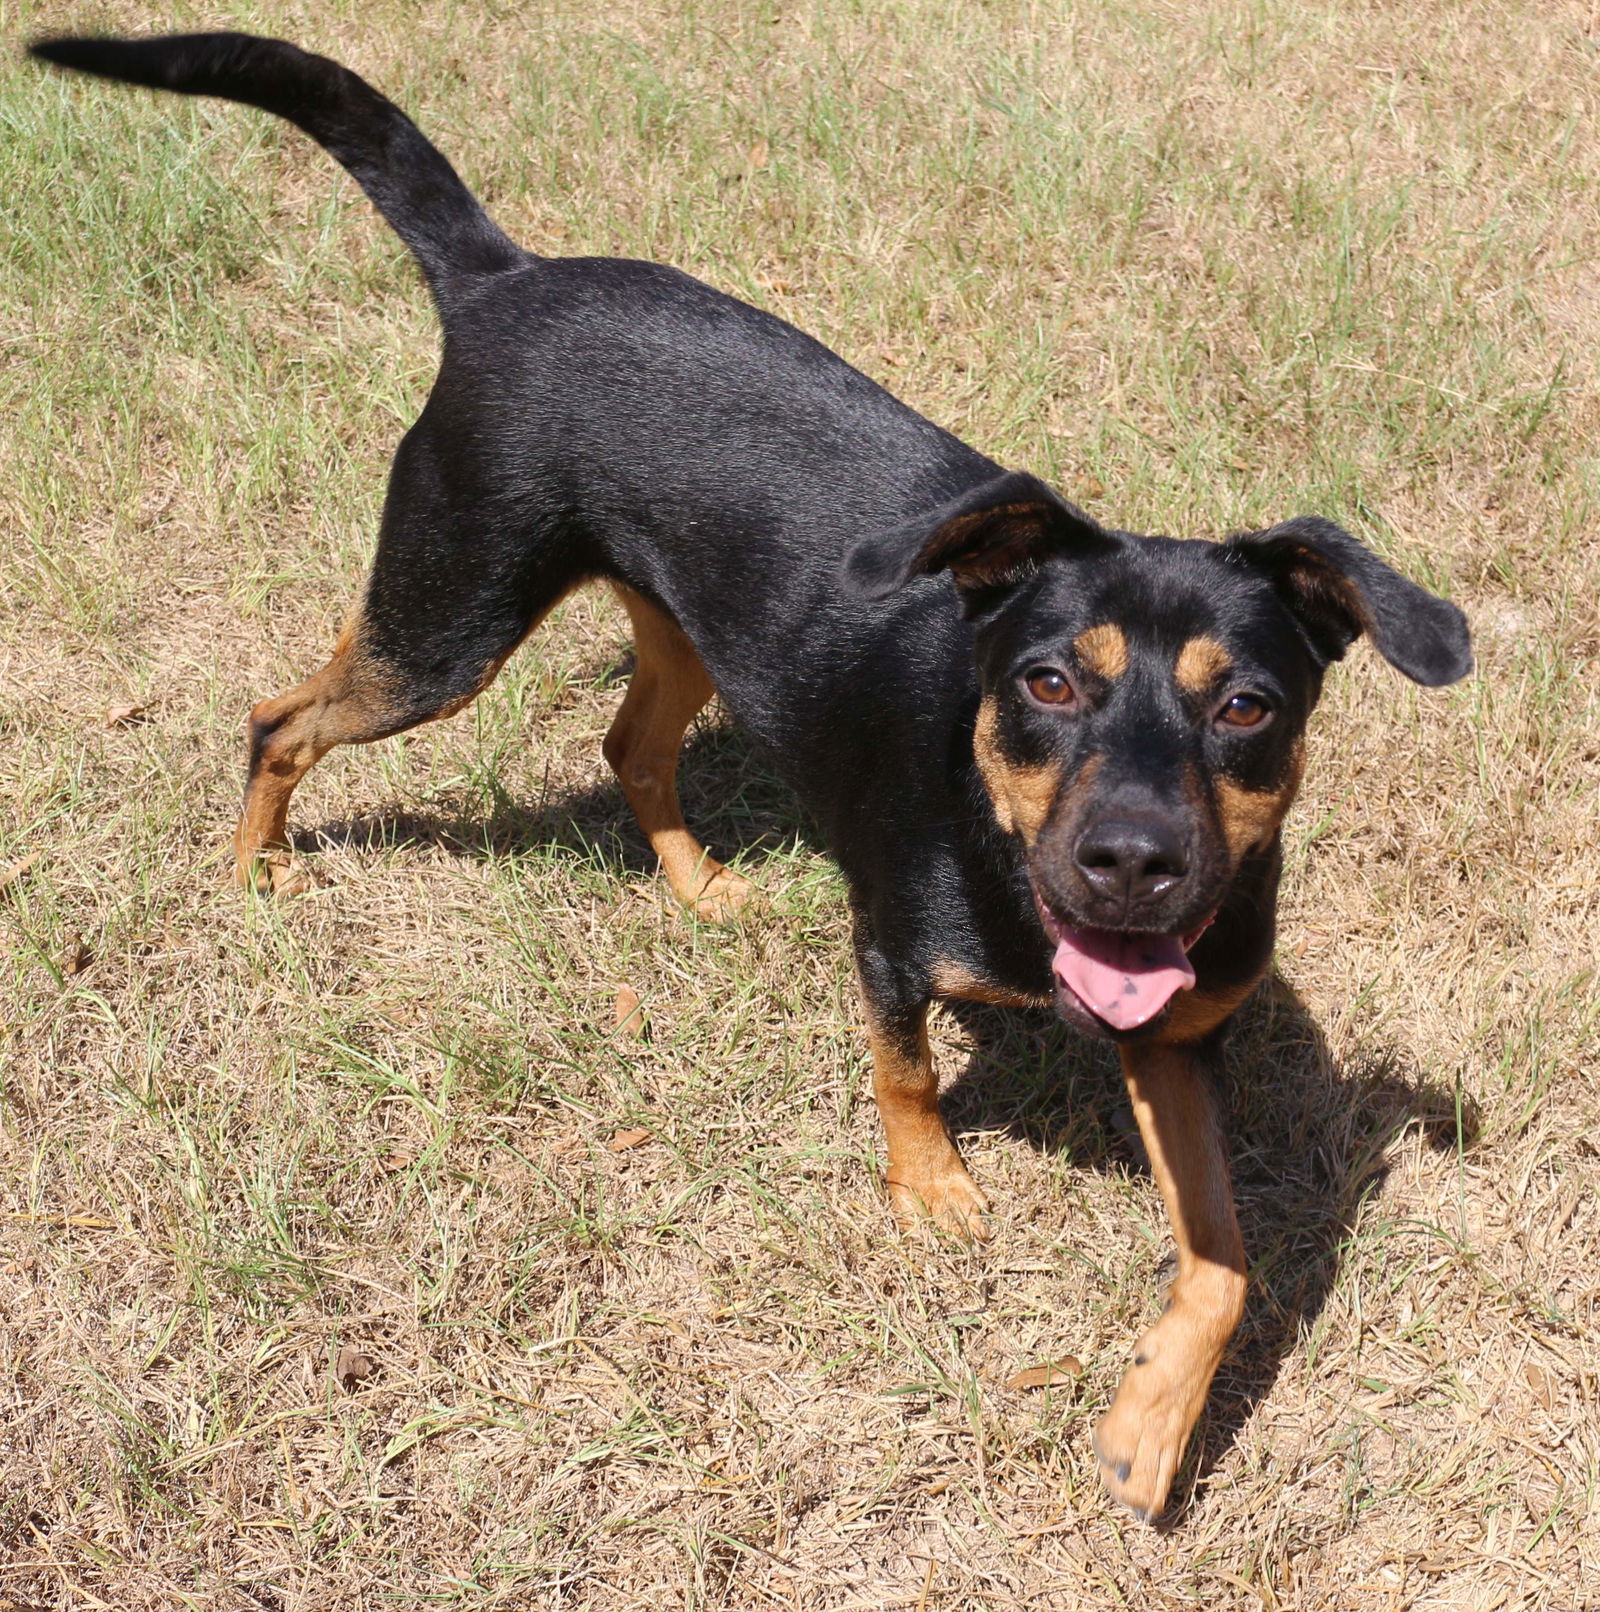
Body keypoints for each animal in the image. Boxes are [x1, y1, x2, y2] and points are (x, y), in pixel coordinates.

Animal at [28, 34, 1475, 1521]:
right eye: (1047, 683)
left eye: (1246, 705)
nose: (1130, 864)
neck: (1002, 849)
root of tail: (502, 277)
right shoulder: (892, 948)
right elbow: (904, 1074)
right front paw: (929, 1192)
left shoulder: (1178, 1038)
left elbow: (1227, 1264)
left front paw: (1148, 1428)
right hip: (447, 617)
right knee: (279, 718)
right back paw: (256, 865)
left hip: (674, 629)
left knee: (626, 748)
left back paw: (696, 888)